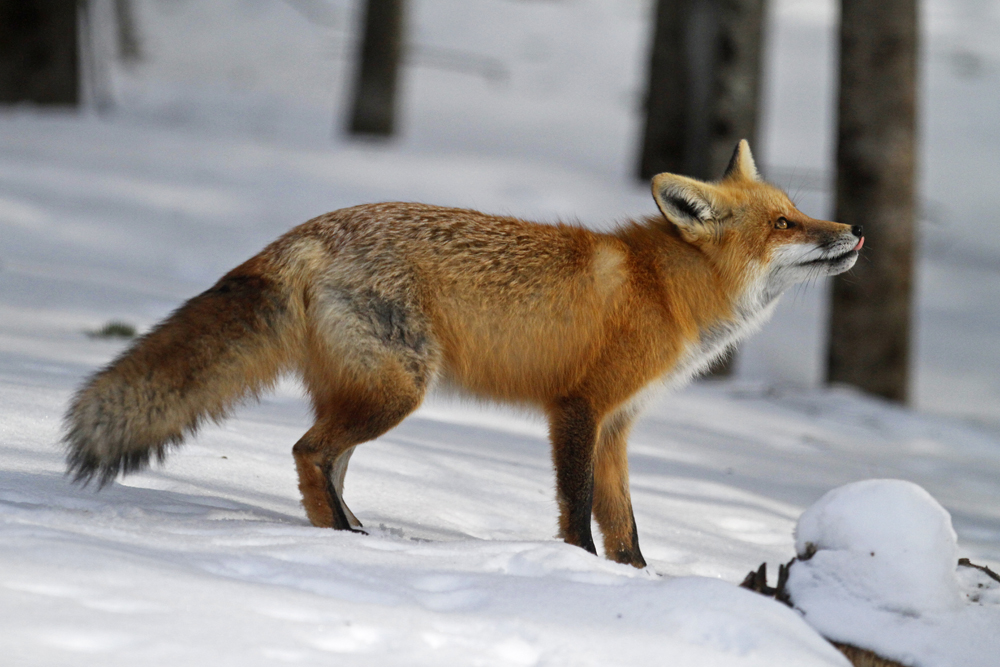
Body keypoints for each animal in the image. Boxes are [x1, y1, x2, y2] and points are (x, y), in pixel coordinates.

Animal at [64, 141, 862, 568]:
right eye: (786, 223)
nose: (854, 230)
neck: (663, 289)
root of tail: (305, 232)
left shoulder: (619, 424)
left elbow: (626, 522)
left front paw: (641, 581)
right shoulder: (578, 409)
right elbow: (578, 510)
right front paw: (578, 572)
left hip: (366, 390)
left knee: (323, 461)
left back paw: (346, 536)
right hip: (398, 390)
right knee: (306, 451)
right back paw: (345, 537)